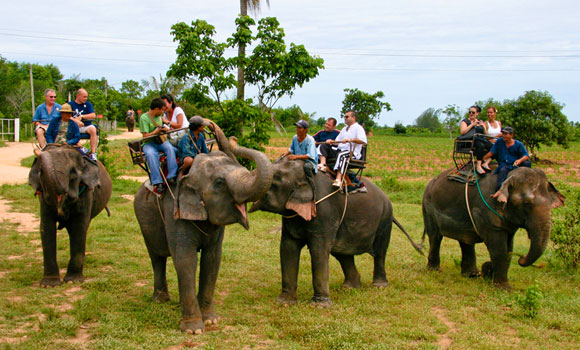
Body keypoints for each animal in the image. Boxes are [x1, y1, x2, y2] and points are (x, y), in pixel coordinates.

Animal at [28, 144, 112, 288]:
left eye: (73, 173)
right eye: (41, 173)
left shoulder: (86, 192)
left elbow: (80, 227)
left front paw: (73, 281)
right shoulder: (43, 199)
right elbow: (46, 228)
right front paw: (49, 285)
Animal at [134, 121, 274, 334]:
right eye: (219, 182)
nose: (209, 124)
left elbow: (212, 260)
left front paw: (210, 321)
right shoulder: (175, 212)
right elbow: (186, 260)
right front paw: (194, 330)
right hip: (143, 219)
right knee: (157, 257)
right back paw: (160, 300)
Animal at [248, 158, 422, 306]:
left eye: (276, 178)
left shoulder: (324, 211)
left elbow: (318, 250)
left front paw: (319, 306)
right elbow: (287, 248)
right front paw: (284, 302)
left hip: (384, 218)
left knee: (379, 251)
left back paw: (379, 286)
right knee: (342, 253)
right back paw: (349, 287)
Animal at [422, 168, 568, 288]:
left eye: (550, 204)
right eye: (527, 204)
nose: (521, 259)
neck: (508, 175)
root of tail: (430, 182)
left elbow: (509, 249)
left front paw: (491, 274)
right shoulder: (486, 212)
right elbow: (499, 248)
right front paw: (503, 287)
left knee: (465, 241)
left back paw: (472, 275)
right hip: (428, 207)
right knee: (435, 237)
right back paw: (435, 270)